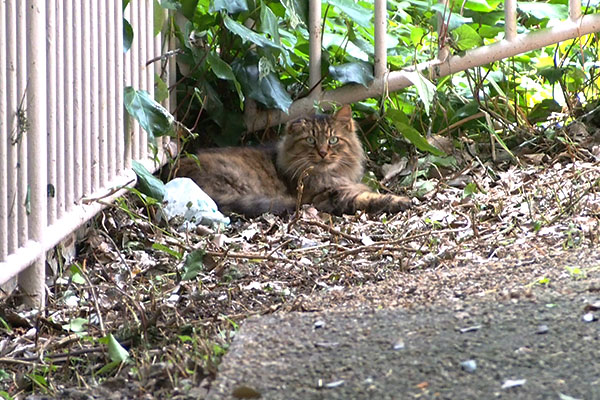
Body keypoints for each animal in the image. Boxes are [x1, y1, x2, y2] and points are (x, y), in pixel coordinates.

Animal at [171, 104, 410, 217]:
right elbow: (373, 198)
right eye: (311, 140)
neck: (330, 173)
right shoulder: (332, 195)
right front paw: (402, 201)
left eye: (333, 140)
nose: (323, 153)